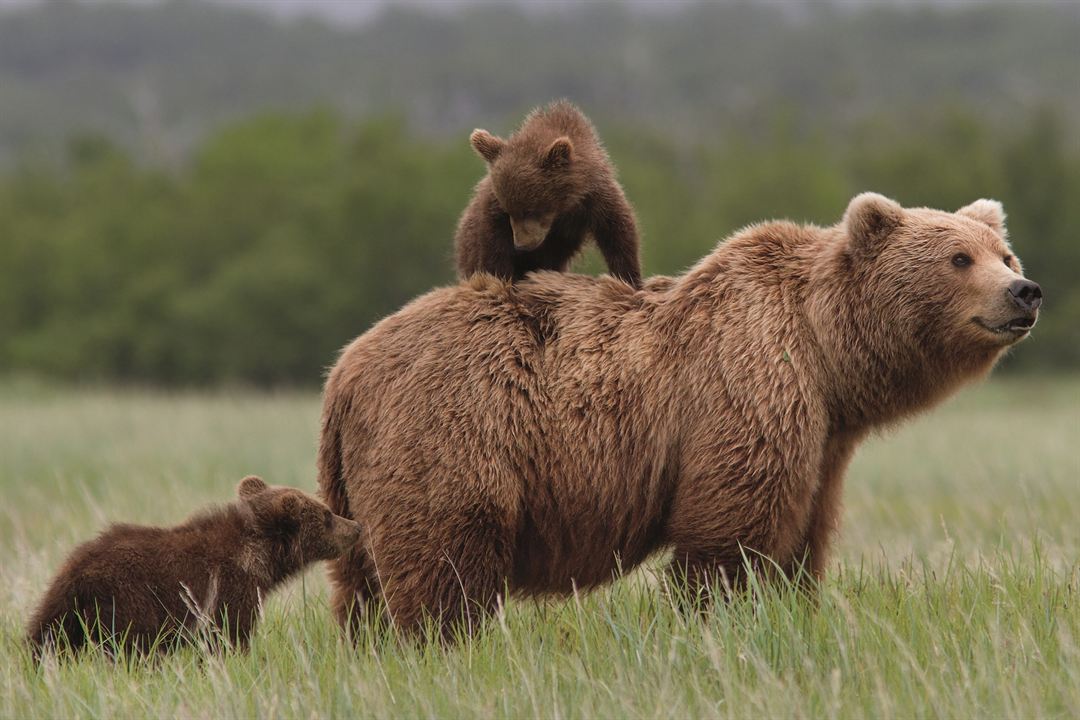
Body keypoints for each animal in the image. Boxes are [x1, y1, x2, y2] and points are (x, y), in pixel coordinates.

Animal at [317, 194, 1036, 639]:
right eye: (958, 258)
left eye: (1004, 254)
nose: (1024, 292)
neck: (826, 355)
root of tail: (344, 370)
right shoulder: (746, 385)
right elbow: (730, 534)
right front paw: (718, 618)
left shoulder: (823, 440)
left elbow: (803, 536)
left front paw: (794, 608)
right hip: (454, 430)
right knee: (446, 566)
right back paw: (442, 643)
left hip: (361, 477)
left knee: (360, 582)